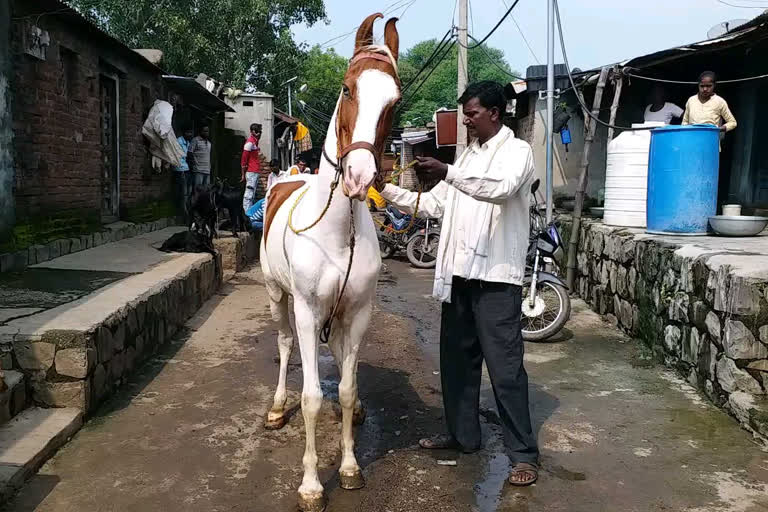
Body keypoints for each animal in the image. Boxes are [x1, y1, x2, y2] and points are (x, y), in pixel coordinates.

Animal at [260, 13, 402, 512]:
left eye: (395, 101)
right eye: (346, 88)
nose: (359, 176)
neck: (337, 235)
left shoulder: (357, 312)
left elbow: (345, 387)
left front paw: (350, 466)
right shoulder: (307, 310)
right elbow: (311, 398)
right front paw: (311, 485)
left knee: (340, 362)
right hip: (277, 295)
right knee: (285, 345)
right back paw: (276, 407)